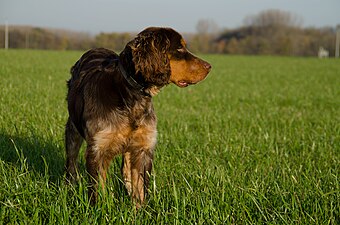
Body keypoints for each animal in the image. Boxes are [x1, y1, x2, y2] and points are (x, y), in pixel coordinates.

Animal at [65, 27, 211, 207]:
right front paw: (99, 210)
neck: (130, 95)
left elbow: (140, 189)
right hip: (72, 131)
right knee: (71, 163)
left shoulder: (143, 147)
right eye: (179, 48)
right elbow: (98, 190)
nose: (209, 66)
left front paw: (141, 210)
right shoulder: (97, 148)